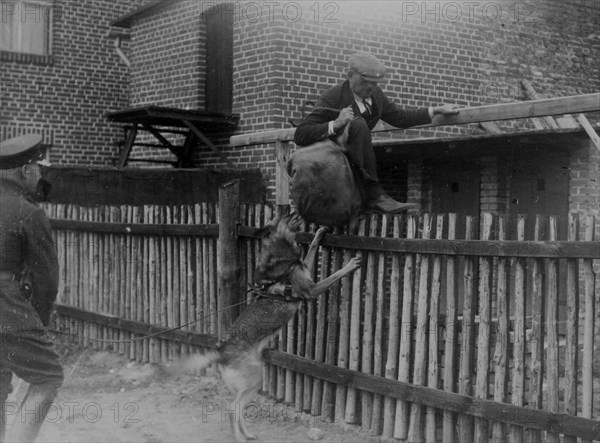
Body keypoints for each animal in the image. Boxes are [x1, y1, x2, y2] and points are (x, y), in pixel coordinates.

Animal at [183, 214, 360, 440]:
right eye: (284, 217)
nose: (298, 213)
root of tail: (221, 351)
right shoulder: (311, 290)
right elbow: (335, 275)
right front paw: (350, 265)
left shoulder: (306, 269)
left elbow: (312, 248)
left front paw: (319, 234)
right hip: (253, 379)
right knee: (232, 409)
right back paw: (239, 437)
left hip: (254, 382)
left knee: (238, 410)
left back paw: (248, 434)